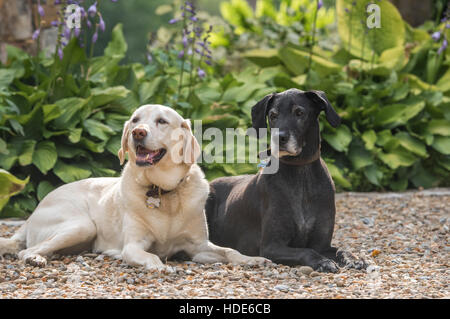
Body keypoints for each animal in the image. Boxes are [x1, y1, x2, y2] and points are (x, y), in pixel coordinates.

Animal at [0, 105, 268, 270]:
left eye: (161, 121)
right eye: (136, 120)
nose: (138, 132)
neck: (161, 191)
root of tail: (31, 216)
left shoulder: (199, 247)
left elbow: (230, 251)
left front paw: (252, 259)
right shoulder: (133, 246)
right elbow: (151, 256)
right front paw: (160, 266)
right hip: (81, 225)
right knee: (26, 250)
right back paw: (36, 258)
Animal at [206, 89, 368, 272]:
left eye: (299, 113)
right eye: (273, 115)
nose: (279, 138)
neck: (300, 170)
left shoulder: (322, 245)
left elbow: (341, 249)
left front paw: (354, 258)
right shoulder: (271, 246)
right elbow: (306, 251)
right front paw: (322, 261)